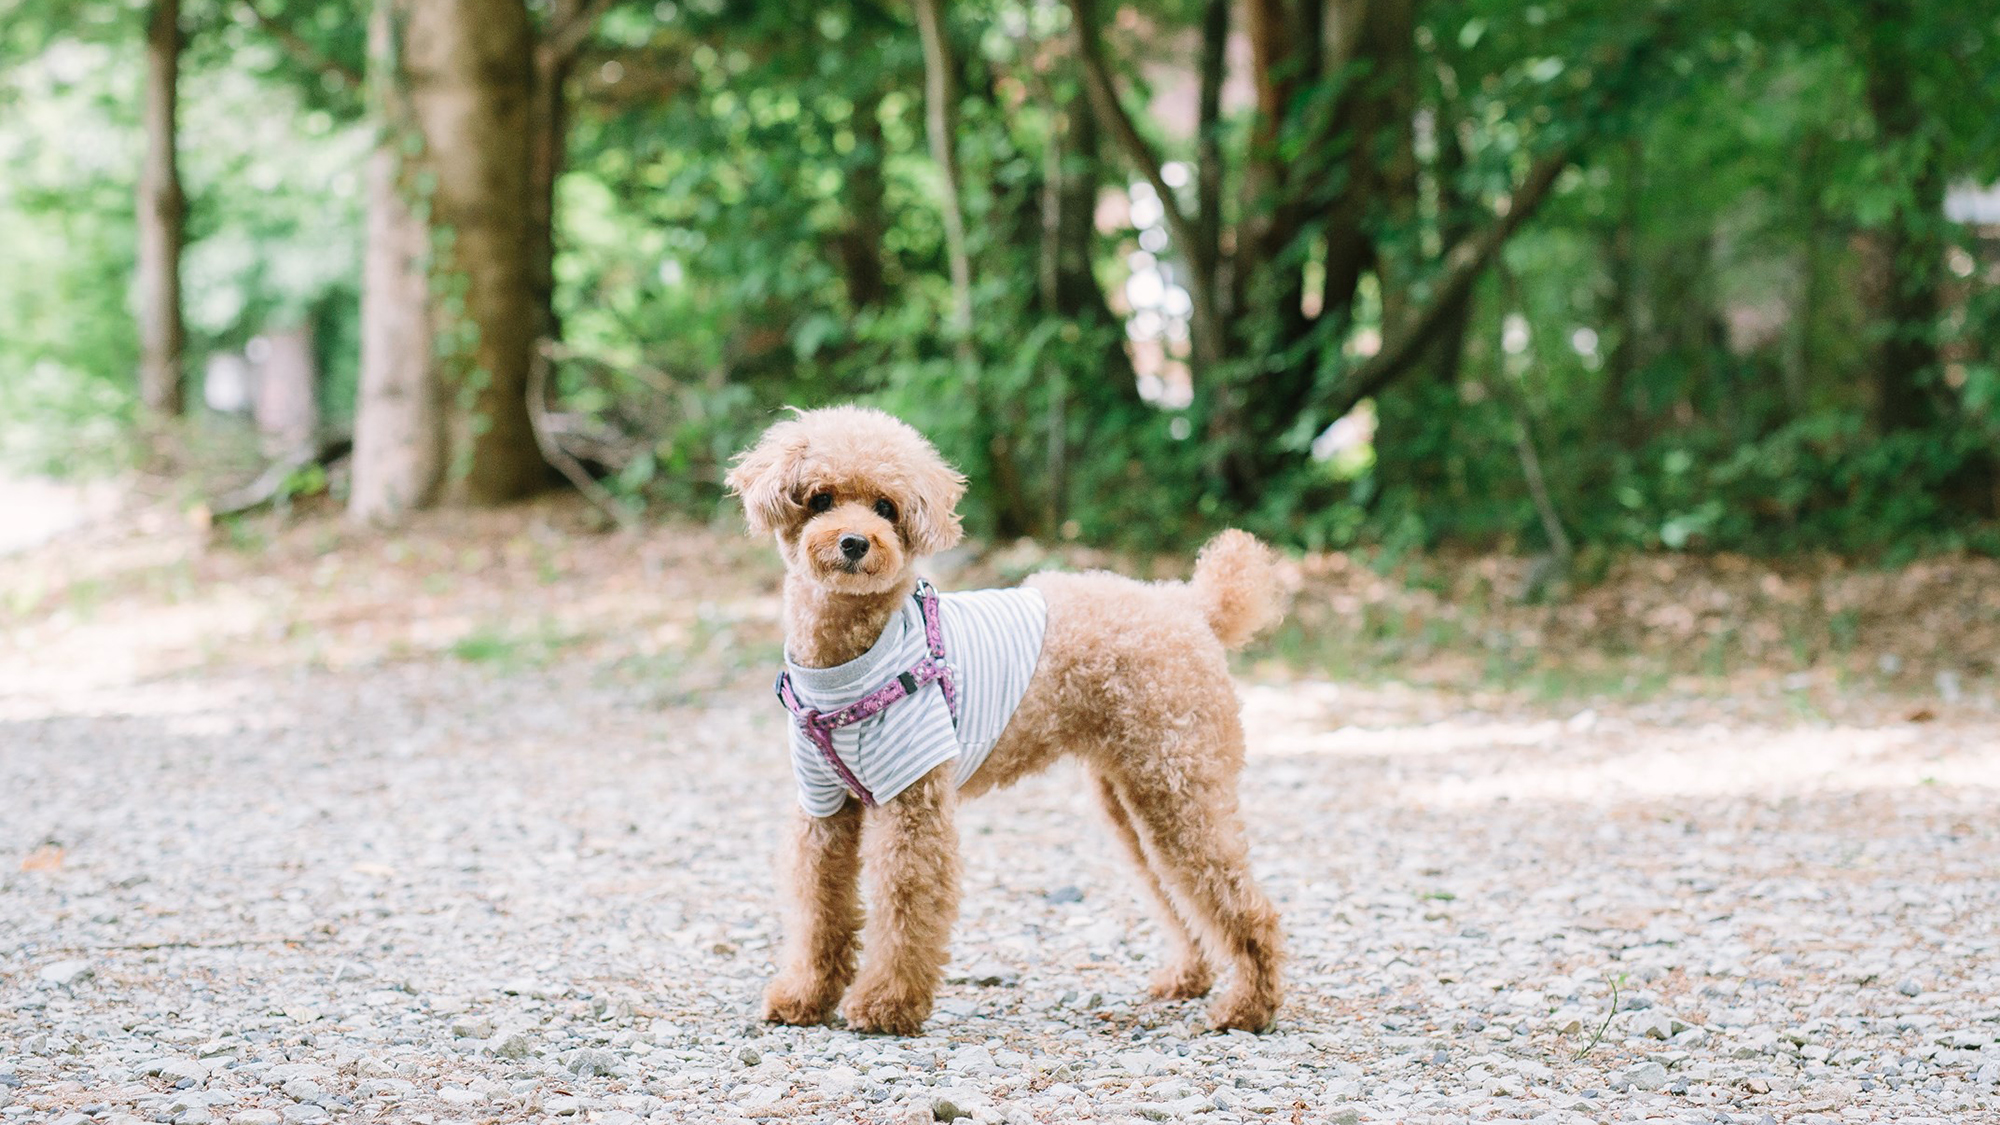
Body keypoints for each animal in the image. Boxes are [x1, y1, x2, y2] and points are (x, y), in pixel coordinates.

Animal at [728, 404, 1288, 1032]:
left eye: (886, 508)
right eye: (820, 499)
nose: (854, 542)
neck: (850, 665)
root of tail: (1187, 605)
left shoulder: (914, 803)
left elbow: (906, 899)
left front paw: (886, 1004)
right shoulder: (823, 807)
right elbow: (818, 904)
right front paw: (805, 995)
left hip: (1180, 784)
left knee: (1240, 900)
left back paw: (1248, 1006)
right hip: (1133, 796)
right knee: (1172, 892)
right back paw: (1187, 979)